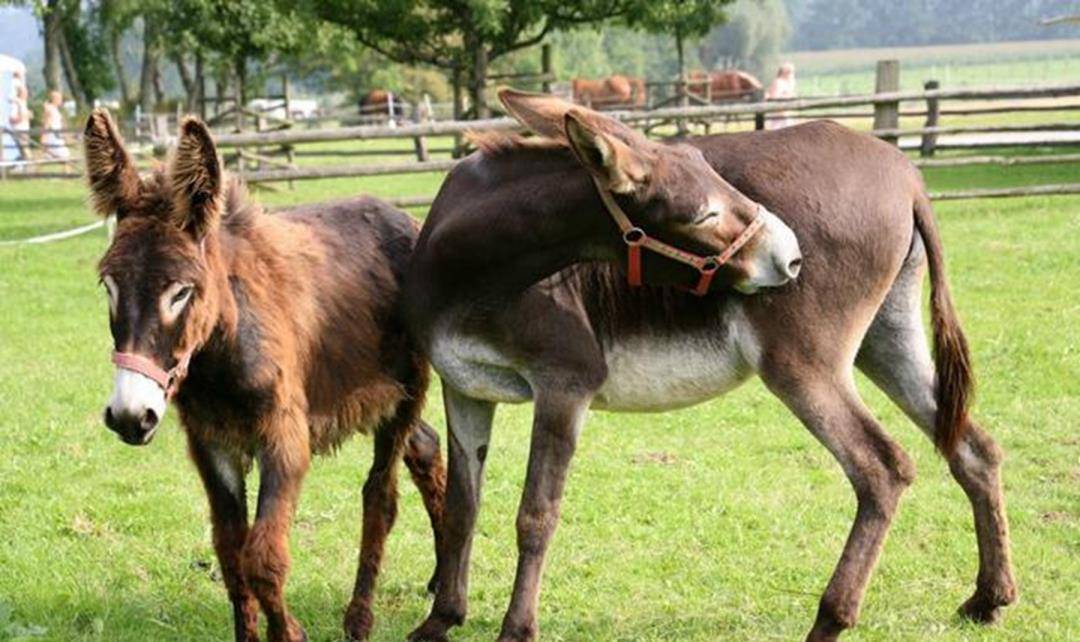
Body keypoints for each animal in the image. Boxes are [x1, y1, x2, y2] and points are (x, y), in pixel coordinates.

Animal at [83, 110, 447, 639]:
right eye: (107, 286)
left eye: (181, 292)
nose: (131, 416)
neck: (219, 352)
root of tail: (404, 217)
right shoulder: (211, 442)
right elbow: (231, 555)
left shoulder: (285, 436)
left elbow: (262, 558)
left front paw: (289, 632)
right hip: (374, 394)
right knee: (426, 446)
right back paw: (441, 576)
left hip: (404, 392)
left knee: (380, 497)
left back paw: (360, 617)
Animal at [403, 89, 1010, 639]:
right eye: (705, 213)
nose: (791, 255)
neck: (473, 271)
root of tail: (905, 174)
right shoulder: (464, 387)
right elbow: (462, 506)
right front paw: (440, 620)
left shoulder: (565, 383)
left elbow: (536, 515)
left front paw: (515, 630)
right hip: (885, 339)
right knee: (971, 446)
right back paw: (989, 598)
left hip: (803, 363)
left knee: (883, 468)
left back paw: (832, 619)